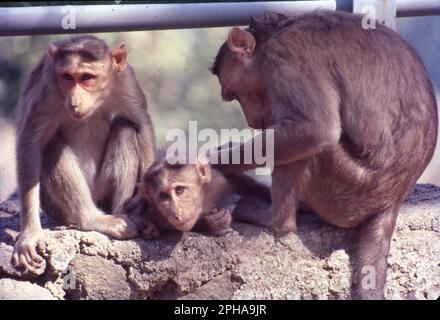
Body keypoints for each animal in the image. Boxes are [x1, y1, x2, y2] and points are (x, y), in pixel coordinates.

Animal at [12, 35, 156, 272]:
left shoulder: (125, 80)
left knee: (125, 128)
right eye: (67, 77)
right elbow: (30, 142)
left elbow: (141, 125)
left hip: (102, 191)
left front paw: (147, 207)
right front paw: (29, 234)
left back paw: (124, 214)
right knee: (51, 146)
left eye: (86, 77)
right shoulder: (48, 87)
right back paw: (91, 219)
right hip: (57, 207)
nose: (74, 100)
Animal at [124, 153, 272, 240]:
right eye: (163, 196)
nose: (176, 213)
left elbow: (240, 181)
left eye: (179, 190)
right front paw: (216, 222)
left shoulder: (216, 179)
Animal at [211, 10, 436, 300]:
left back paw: (275, 220)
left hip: (348, 190)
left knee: (307, 138)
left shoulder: (284, 58)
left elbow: (316, 130)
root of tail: (393, 201)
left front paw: (210, 162)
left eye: (233, 93)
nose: (251, 121)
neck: (278, 32)